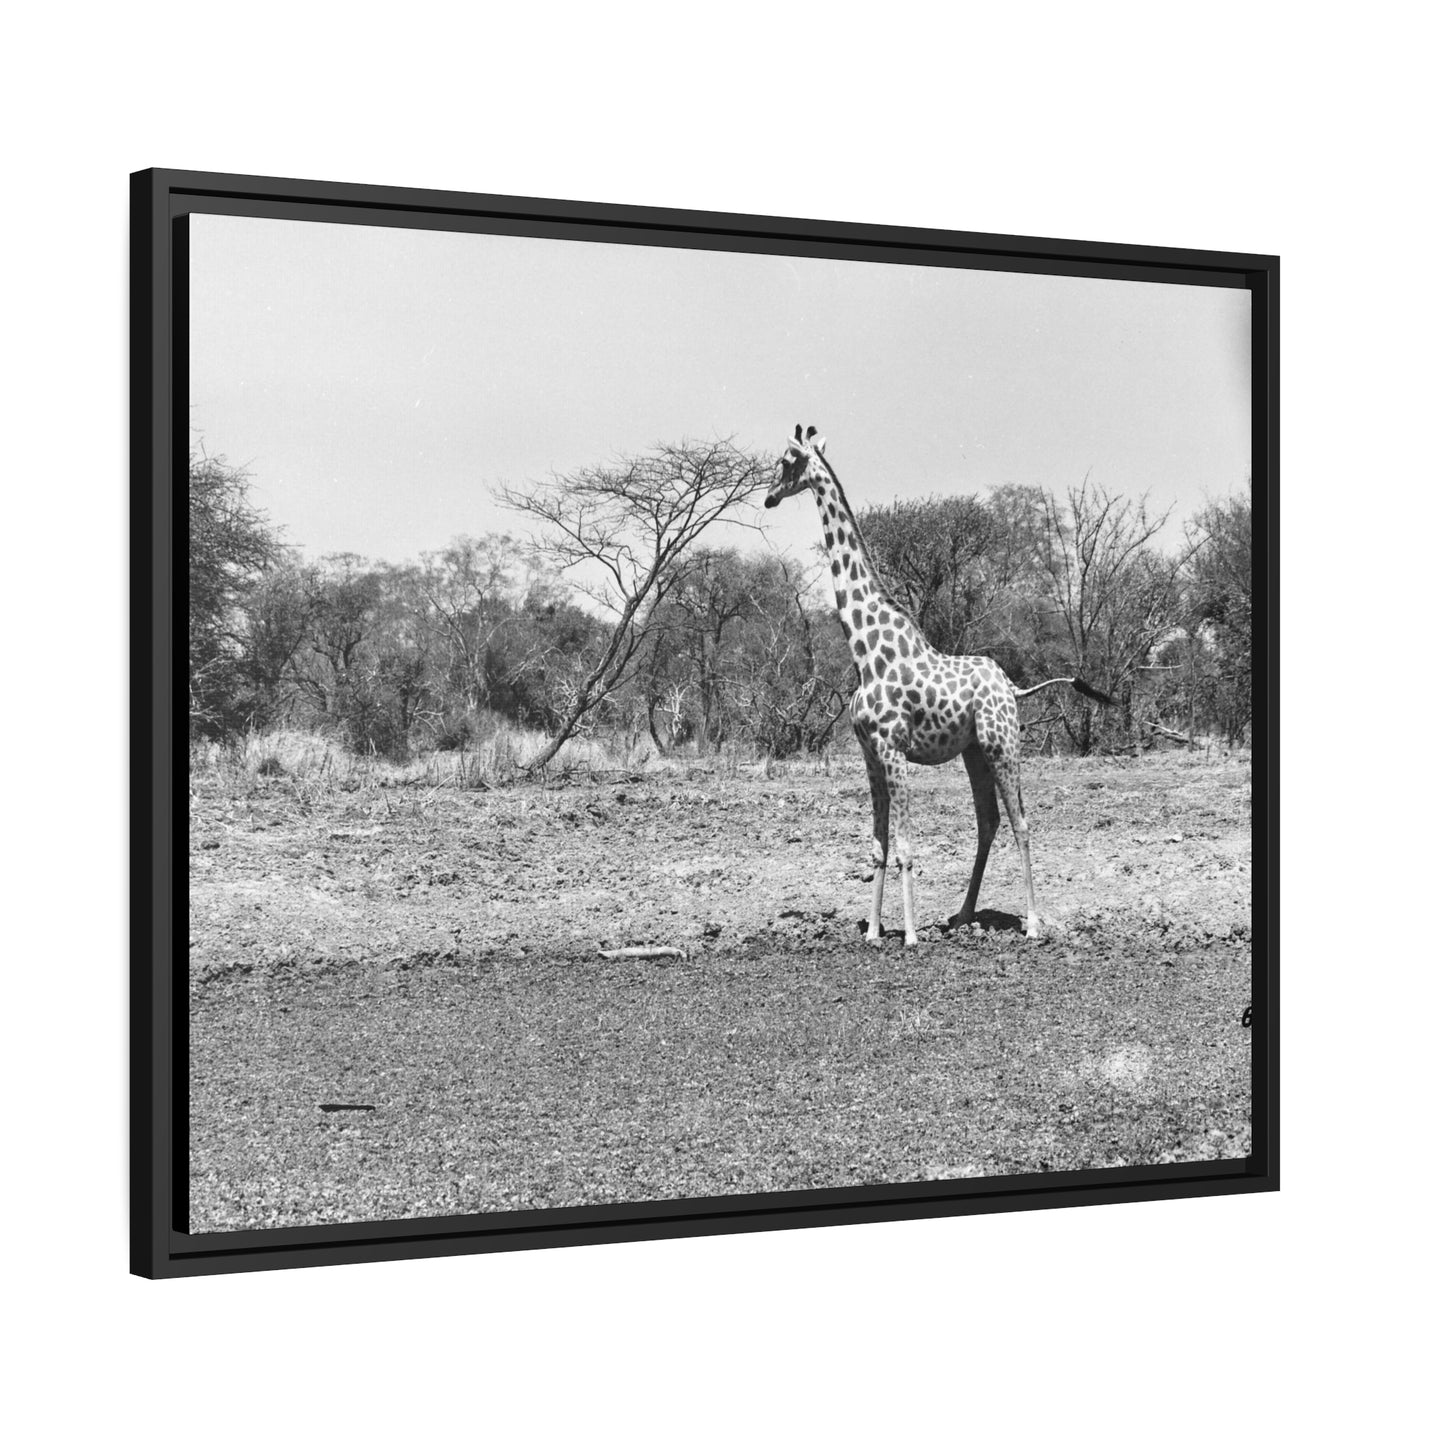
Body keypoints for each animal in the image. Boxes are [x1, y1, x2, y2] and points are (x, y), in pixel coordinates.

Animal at [764, 425, 1114, 946]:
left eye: (787, 460)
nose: (769, 497)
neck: (865, 652)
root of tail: (1013, 689)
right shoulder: (870, 756)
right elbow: (877, 846)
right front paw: (873, 932)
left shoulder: (893, 751)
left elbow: (906, 847)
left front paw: (909, 936)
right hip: (974, 752)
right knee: (988, 821)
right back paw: (963, 915)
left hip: (1003, 744)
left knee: (1021, 821)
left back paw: (1032, 923)